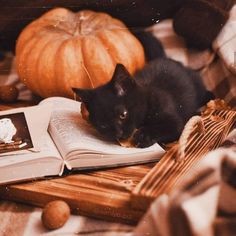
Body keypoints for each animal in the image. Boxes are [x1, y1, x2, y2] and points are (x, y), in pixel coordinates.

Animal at [72, 31, 214, 148]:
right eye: (103, 125)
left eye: (123, 114)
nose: (119, 134)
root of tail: (166, 58)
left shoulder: (175, 121)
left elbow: (167, 126)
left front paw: (144, 135)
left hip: (196, 83)